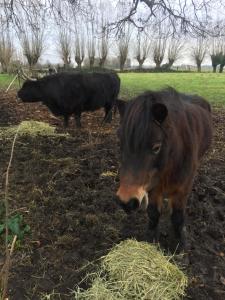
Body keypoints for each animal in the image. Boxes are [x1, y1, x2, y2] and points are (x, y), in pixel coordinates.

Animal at [116, 86, 213, 248]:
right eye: (121, 143)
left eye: (156, 147)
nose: (126, 202)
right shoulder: (153, 188)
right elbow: (154, 214)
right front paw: (151, 239)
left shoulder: (181, 190)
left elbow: (177, 217)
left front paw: (180, 245)